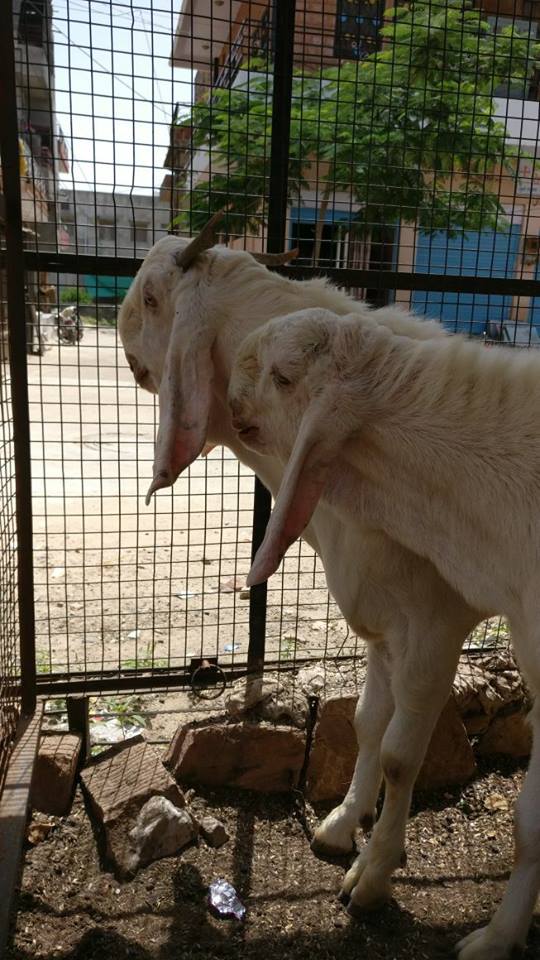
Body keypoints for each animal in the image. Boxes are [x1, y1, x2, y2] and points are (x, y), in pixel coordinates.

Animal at [118, 220, 484, 940]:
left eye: (150, 298)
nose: (121, 343)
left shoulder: (436, 624)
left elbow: (403, 754)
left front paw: (373, 876)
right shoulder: (381, 620)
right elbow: (368, 725)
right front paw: (342, 826)